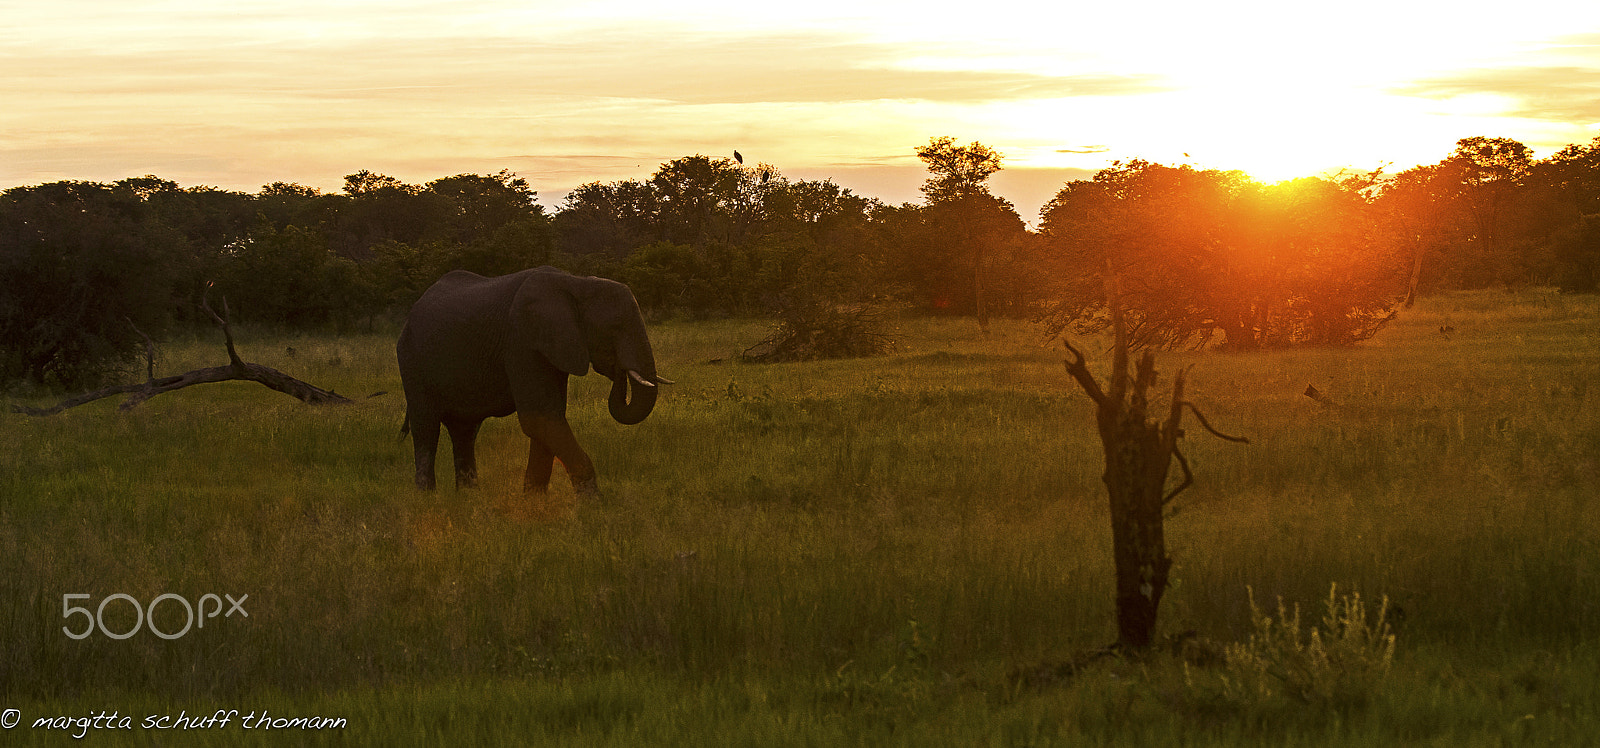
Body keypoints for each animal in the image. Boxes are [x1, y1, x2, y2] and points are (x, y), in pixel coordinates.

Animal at [397, 266, 667, 496]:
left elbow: (548, 418)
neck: (576, 283)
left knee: (464, 431)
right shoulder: (522, 341)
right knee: (427, 428)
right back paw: (428, 498)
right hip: (411, 362)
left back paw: (468, 497)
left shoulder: (551, 347)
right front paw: (593, 506)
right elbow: (538, 418)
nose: (619, 370)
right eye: (615, 328)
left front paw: (534, 504)